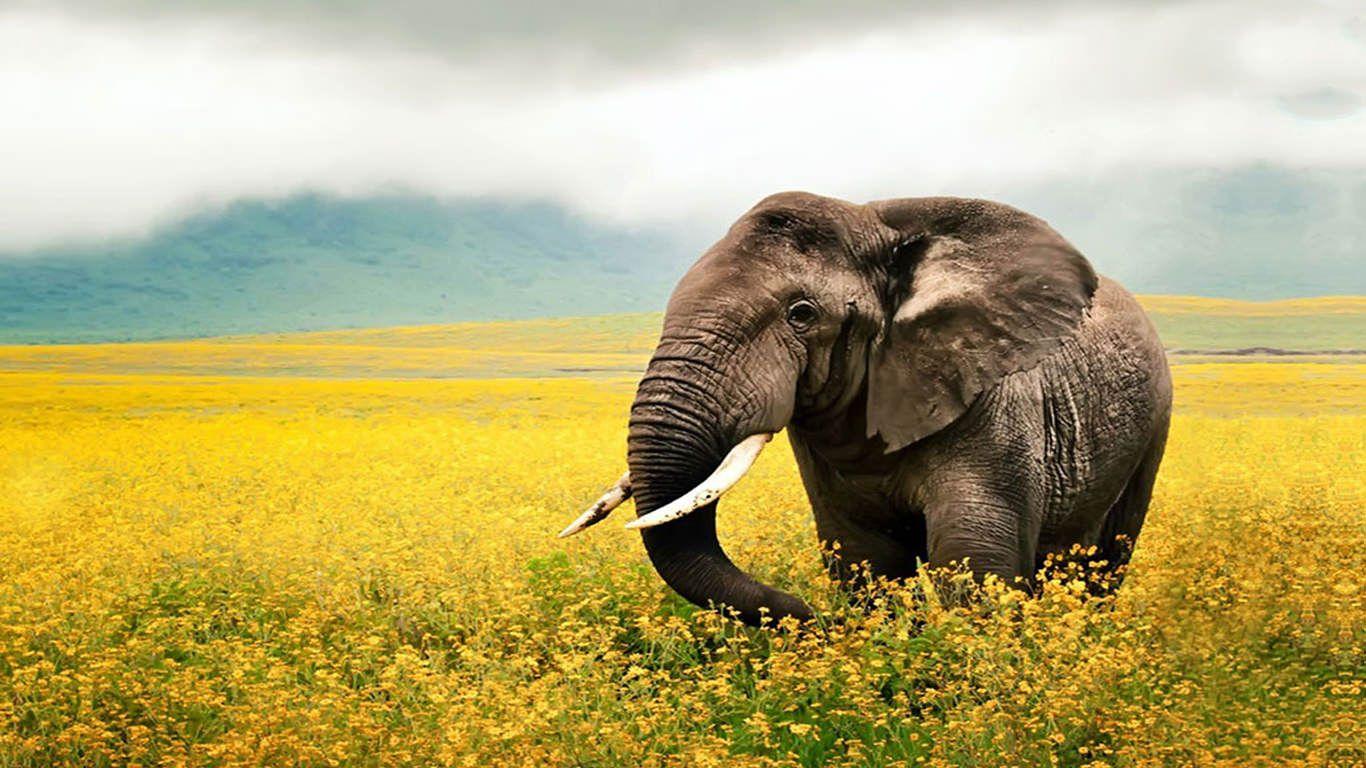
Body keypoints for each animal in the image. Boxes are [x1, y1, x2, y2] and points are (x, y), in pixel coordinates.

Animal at [559, 192, 1172, 627]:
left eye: (801, 314)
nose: (810, 618)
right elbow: (865, 560)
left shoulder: (996, 402)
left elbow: (973, 562)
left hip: (1154, 425)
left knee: (1105, 562)